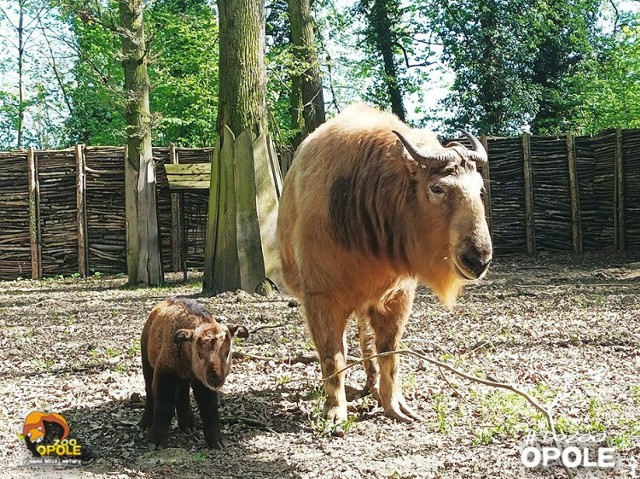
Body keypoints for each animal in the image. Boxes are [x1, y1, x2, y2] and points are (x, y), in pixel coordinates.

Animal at [140, 298, 248, 448]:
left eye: (227, 353)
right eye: (199, 353)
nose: (216, 379)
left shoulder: (202, 383)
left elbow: (208, 406)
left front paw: (216, 441)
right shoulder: (165, 376)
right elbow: (164, 405)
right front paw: (155, 441)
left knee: (182, 393)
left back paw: (187, 424)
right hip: (147, 363)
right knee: (149, 391)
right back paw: (146, 423)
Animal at [278, 104, 492, 424]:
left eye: (479, 188)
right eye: (437, 188)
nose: (478, 260)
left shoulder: (396, 298)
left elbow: (388, 353)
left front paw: (394, 405)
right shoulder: (322, 298)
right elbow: (333, 356)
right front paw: (335, 409)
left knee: (366, 341)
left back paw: (372, 385)